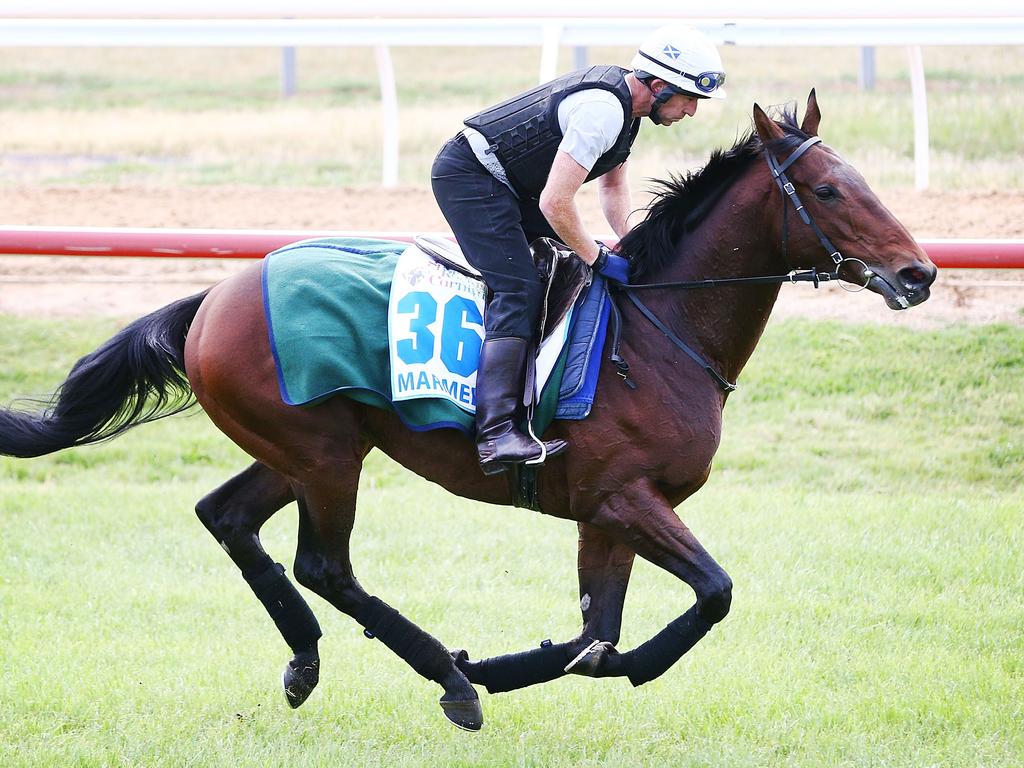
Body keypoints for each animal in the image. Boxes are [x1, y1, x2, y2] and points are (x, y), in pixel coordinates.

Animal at [0, 93, 937, 729]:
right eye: (828, 190)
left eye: (863, 181)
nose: (920, 273)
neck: (658, 331)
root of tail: (217, 294)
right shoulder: (627, 497)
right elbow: (709, 595)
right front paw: (500, 668)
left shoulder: (605, 513)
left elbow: (595, 634)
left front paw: (519, 661)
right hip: (325, 455)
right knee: (324, 565)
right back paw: (443, 680)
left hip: (299, 448)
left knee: (226, 516)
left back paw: (307, 660)